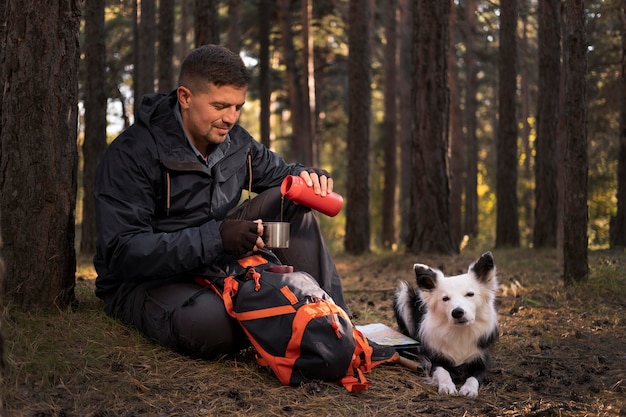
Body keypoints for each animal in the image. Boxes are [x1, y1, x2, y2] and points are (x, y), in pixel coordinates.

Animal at [394, 250, 498, 396]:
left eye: (470, 294)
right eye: (445, 298)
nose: (457, 312)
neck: (460, 332)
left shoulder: (481, 360)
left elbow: (474, 377)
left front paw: (469, 388)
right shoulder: (434, 359)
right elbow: (442, 371)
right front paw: (447, 385)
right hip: (403, 294)